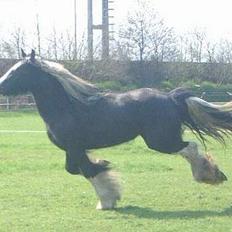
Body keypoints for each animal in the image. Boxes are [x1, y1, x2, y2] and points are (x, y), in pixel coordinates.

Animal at [0, 49, 228, 209]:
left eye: (18, 71)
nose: (1, 86)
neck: (67, 107)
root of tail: (170, 97)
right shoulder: (72, 149)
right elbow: (76, 169)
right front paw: (106, 175)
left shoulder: (75, 148)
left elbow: (87, 170)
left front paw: (107, 201)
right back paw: (212, 175)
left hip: (160, 141)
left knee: (190, 146)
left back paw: (207, 175)